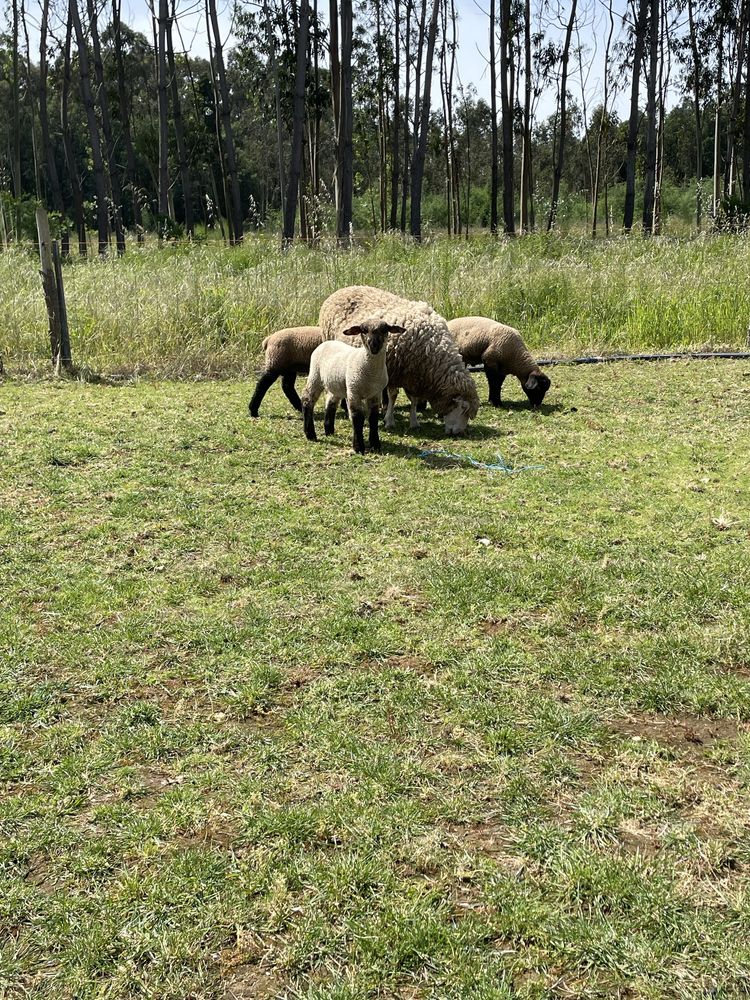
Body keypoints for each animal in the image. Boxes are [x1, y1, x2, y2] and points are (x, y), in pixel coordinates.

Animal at [302, 318, 408, 456]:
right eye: (363, 330)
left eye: (385, 330)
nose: (373, 345)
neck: (370, 372)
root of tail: (327, 342)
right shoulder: (354, 392)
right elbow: (358, 418)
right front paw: (358, 447)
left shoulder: (376, 394)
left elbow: (373, 418)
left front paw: (375, 445)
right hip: (315, 375)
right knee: (307, 399)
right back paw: (310, 434)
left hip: (336, 383)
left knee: (331, 402)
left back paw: (329, 429)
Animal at [320, 284, 478, 436]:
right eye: (462, 408)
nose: (459, 433)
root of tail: (344, 288)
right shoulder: (394, 371)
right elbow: (393, 395)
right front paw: (389, 420)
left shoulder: (413, 376)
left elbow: (413, 400)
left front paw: (414, 422)